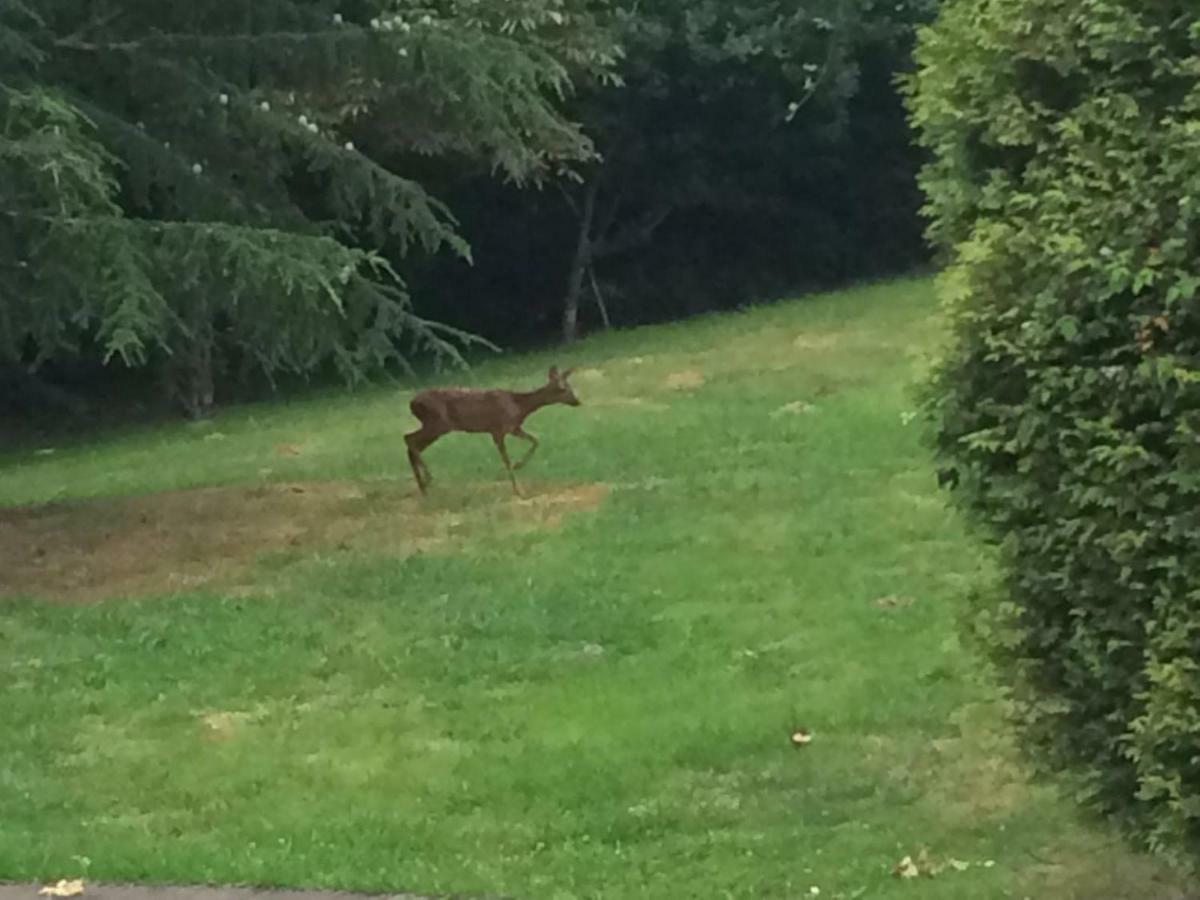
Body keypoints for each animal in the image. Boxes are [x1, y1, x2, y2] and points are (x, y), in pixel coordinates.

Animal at [405, 367, 583, 501]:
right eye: (563, 389)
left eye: (570, 386)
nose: (577, 401)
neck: (519, 407)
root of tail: (412, 403)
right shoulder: (498, 430)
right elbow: (506, 459)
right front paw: (519, 490)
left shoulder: (513, 428)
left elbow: (535, 440)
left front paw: (519, 466)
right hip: (438, 423)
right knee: (409, 439)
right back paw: (428, 479)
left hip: (435, 426)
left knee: (411, 443)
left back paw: (423, 488)